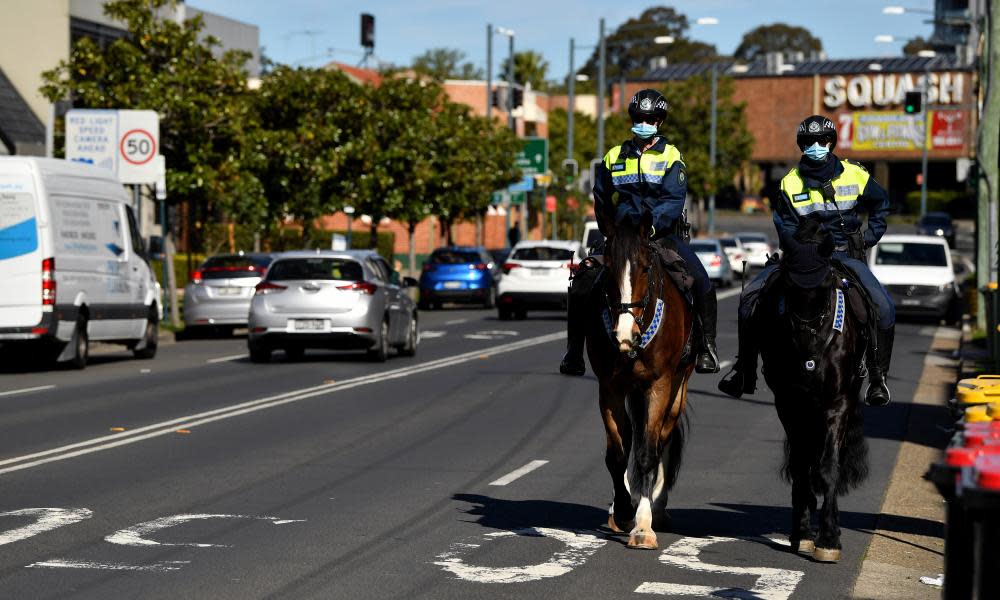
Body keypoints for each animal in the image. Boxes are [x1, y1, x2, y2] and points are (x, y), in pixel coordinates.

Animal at [584, 214, 696, 548]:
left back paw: (656, 508)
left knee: (659, 441)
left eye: (646, 267)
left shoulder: (659, 386)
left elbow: (647, 453)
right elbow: (617, 455)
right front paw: (622, 510)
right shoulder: (609, 389)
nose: (624, 335)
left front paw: (643, 526)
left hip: (677, 391)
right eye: (608, 267)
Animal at [756, 220, 868, 564]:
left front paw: (829, 539)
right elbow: (800, 466)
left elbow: (829, 468)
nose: (808, 356)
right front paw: (803, 532)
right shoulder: (789, 403)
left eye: (826, 289)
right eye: (788, 290)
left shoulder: (837, 403)